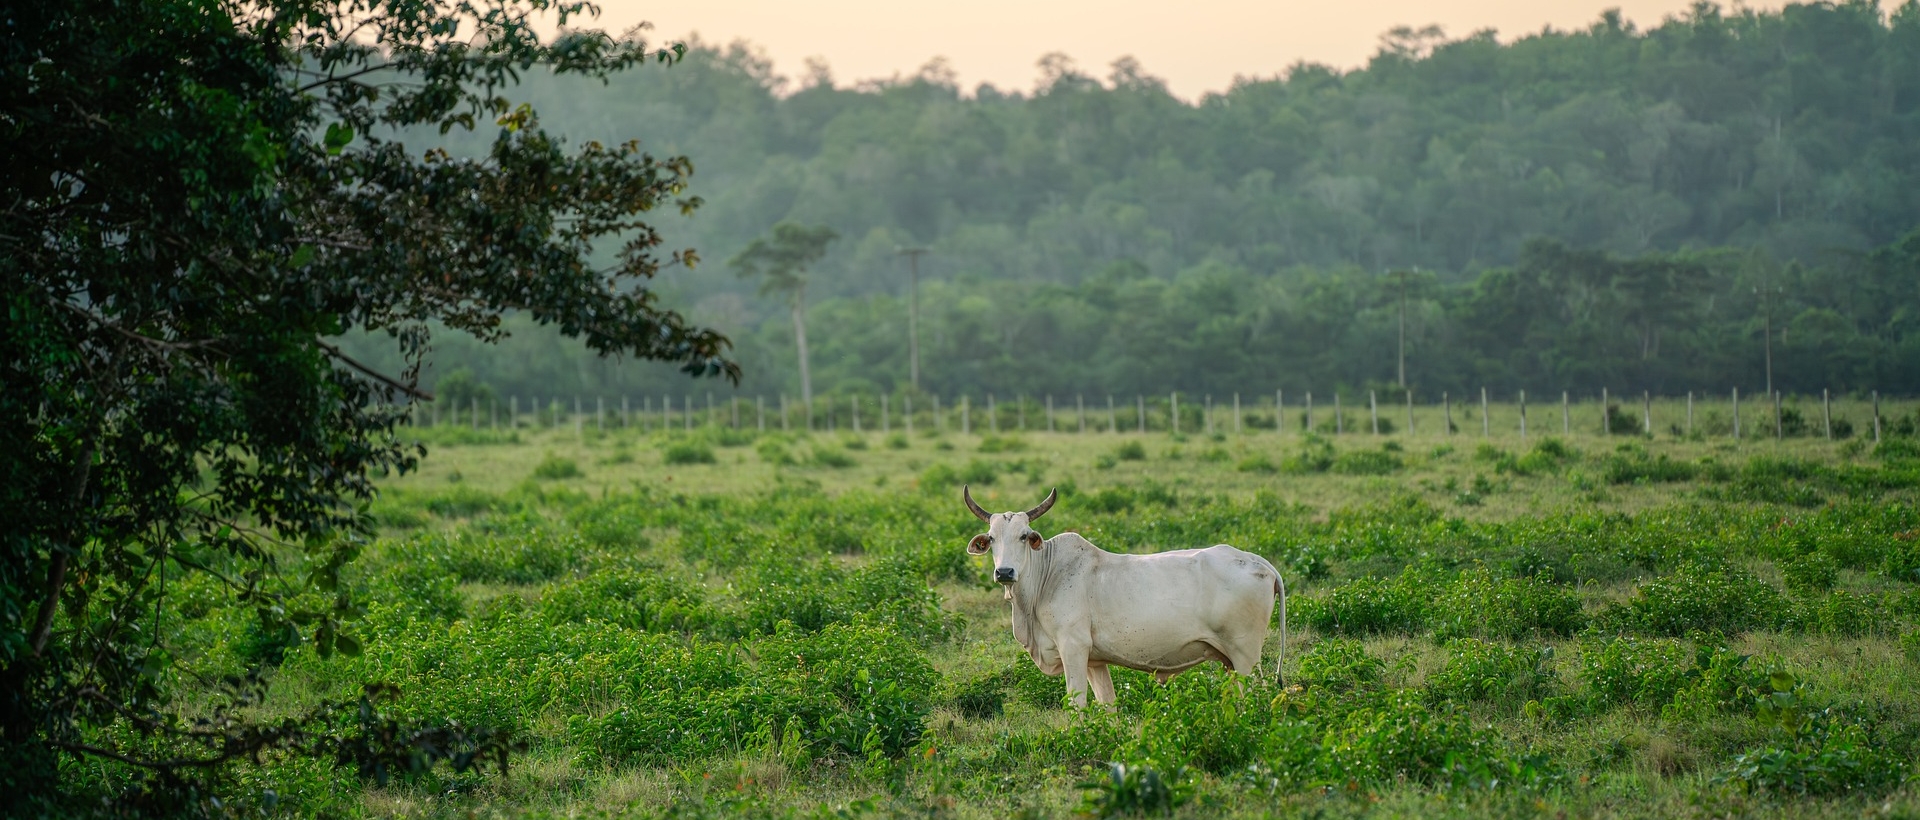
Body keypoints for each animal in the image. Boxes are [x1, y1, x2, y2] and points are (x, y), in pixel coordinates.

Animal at [960, 483, 1290, 710]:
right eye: (991, 539)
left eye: (1024, 536)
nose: (1004, 572)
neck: (1046, 576)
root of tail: (1258, 561)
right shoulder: (1094, 661)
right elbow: (1108, 706)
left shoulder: (1073, 647)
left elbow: (1077, 705)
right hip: (1230, 661)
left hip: (1246, 656)